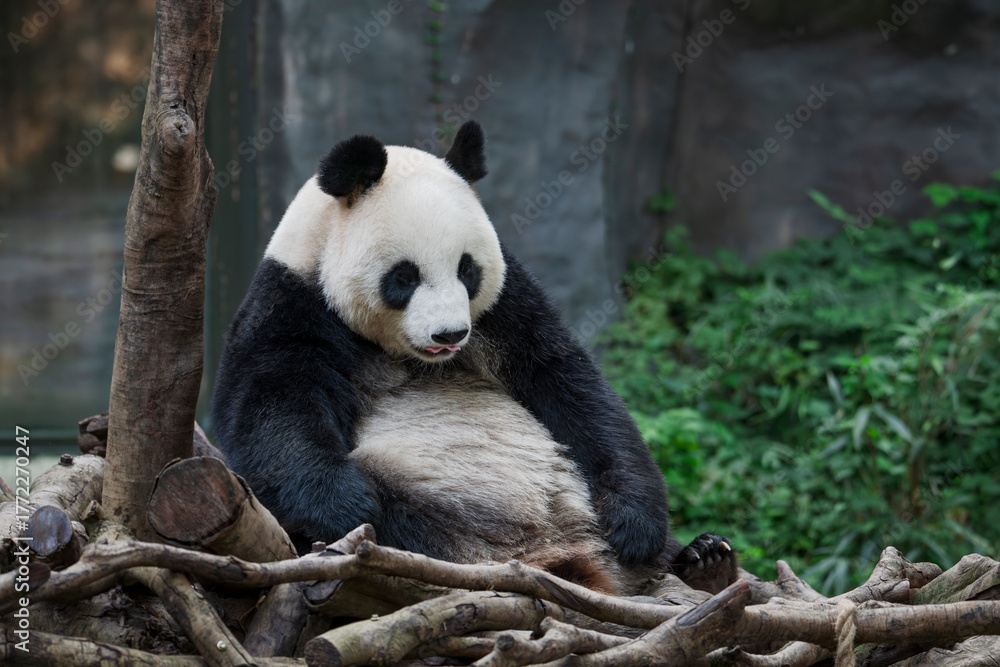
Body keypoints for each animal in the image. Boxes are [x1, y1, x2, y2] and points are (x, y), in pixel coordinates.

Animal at [211, 121, 737, 594]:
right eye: (404, 276)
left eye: (467, 269)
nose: (450, 334)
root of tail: (554, 555)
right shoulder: (290, 305)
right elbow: (271, 415)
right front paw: (347, 504)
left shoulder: (506, 308)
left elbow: (570, 384)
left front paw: (634, 522)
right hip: (440, 517)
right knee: (407, 523)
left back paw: (704, 560)